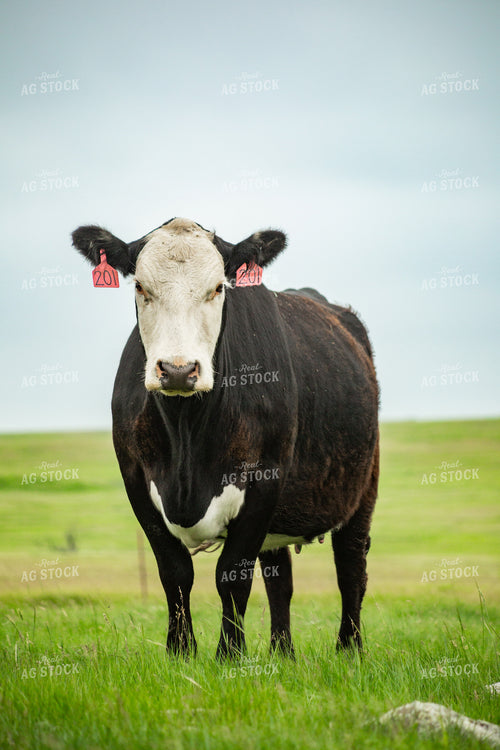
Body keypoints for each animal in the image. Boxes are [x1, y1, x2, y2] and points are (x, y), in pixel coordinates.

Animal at [72, 217, 379, 659]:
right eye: (140, 286)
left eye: (218, 287)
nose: (178, 370)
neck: (186, 432)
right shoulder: (136, 483)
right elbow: (175, 572)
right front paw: (180, 651)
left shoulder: (264, 482)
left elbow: (232, 576)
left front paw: (230, 655)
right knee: (280, 578)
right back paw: (282, 652)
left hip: (363, 484)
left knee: (351, 565)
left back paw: (349, 648)